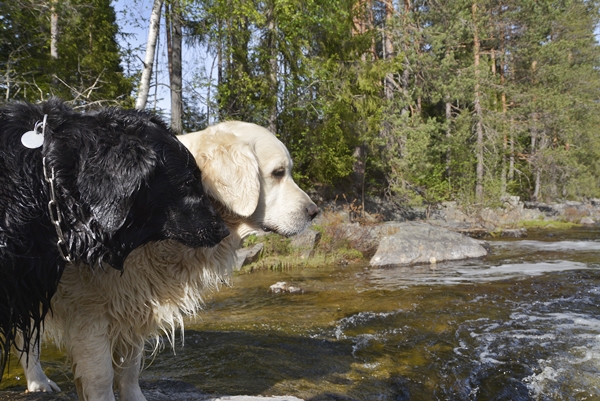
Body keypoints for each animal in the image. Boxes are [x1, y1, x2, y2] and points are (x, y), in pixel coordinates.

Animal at [17, 122, 318, 400]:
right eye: (278, 173)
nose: (315, 211)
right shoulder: (90, 315)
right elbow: (102, 377)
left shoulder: (133, 307)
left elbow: (129, 370)